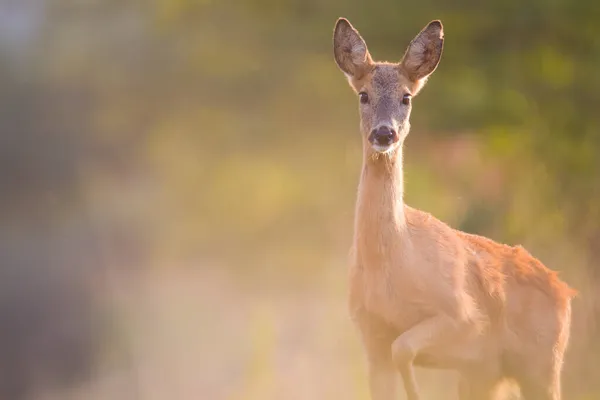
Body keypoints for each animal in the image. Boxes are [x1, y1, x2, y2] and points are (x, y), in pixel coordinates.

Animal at [332, 17, 576, 398]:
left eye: (406, 96)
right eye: (363, 94)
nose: (384, 134)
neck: (391, 264)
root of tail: (565, 290)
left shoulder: (463, 317)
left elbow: (404, 347)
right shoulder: (371, 336)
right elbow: (394, 355)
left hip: (542, 364)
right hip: (487, 375)